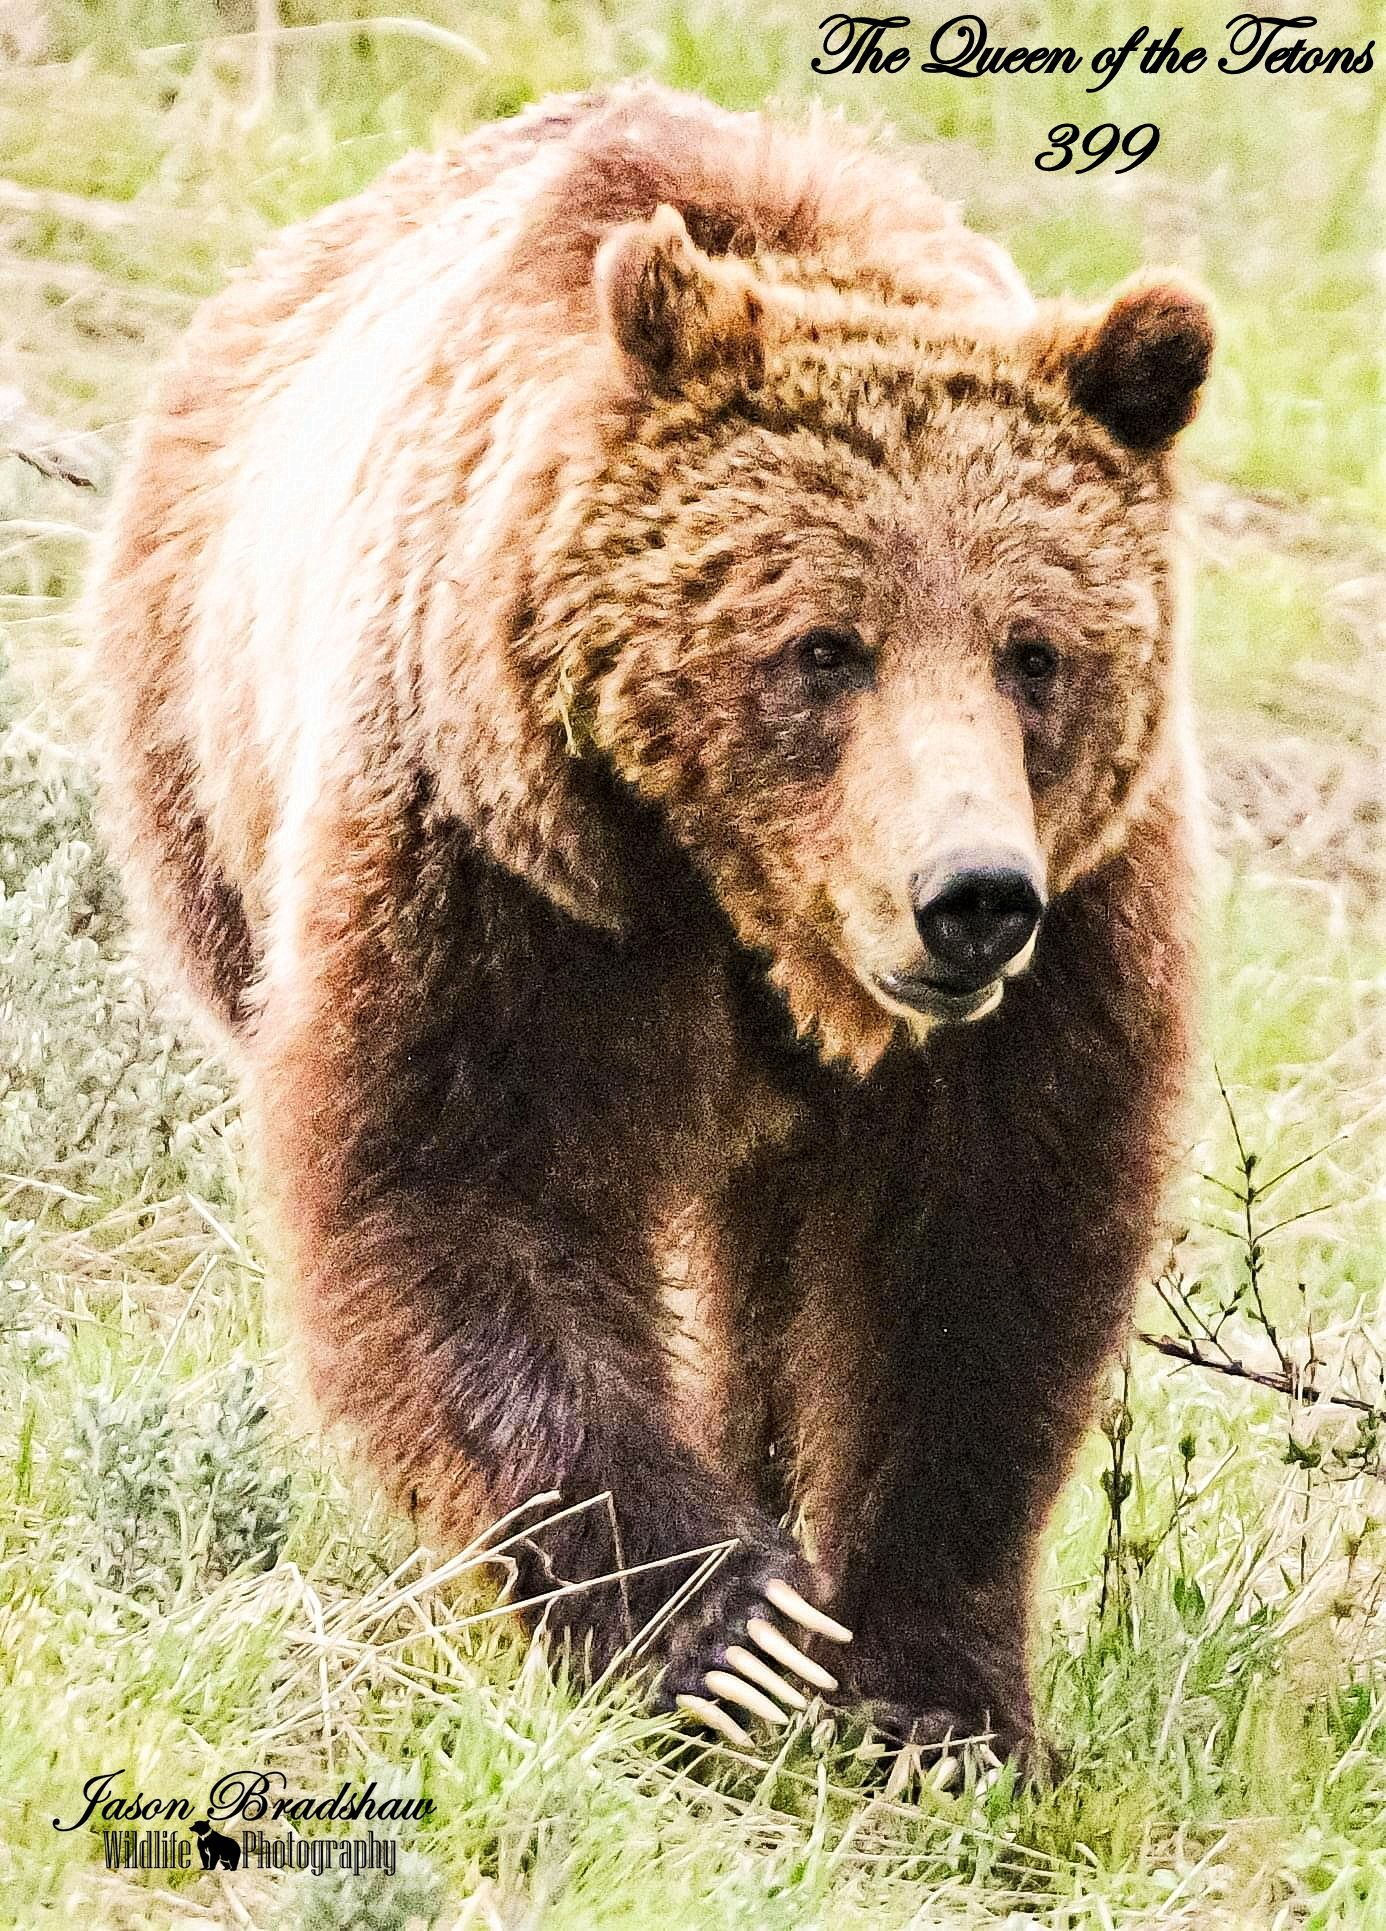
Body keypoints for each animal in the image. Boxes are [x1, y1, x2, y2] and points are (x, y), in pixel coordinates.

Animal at [88, 82, 1212, 1768]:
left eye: (1036, 651)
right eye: (823, 646)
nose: (966, 897)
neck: (750, 921)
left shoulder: (1074, 935)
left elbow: (978, 1258)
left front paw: (930, 1699)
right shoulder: (502, 863)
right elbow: (461, 1184)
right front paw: (725, 1630)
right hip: (205, 782)